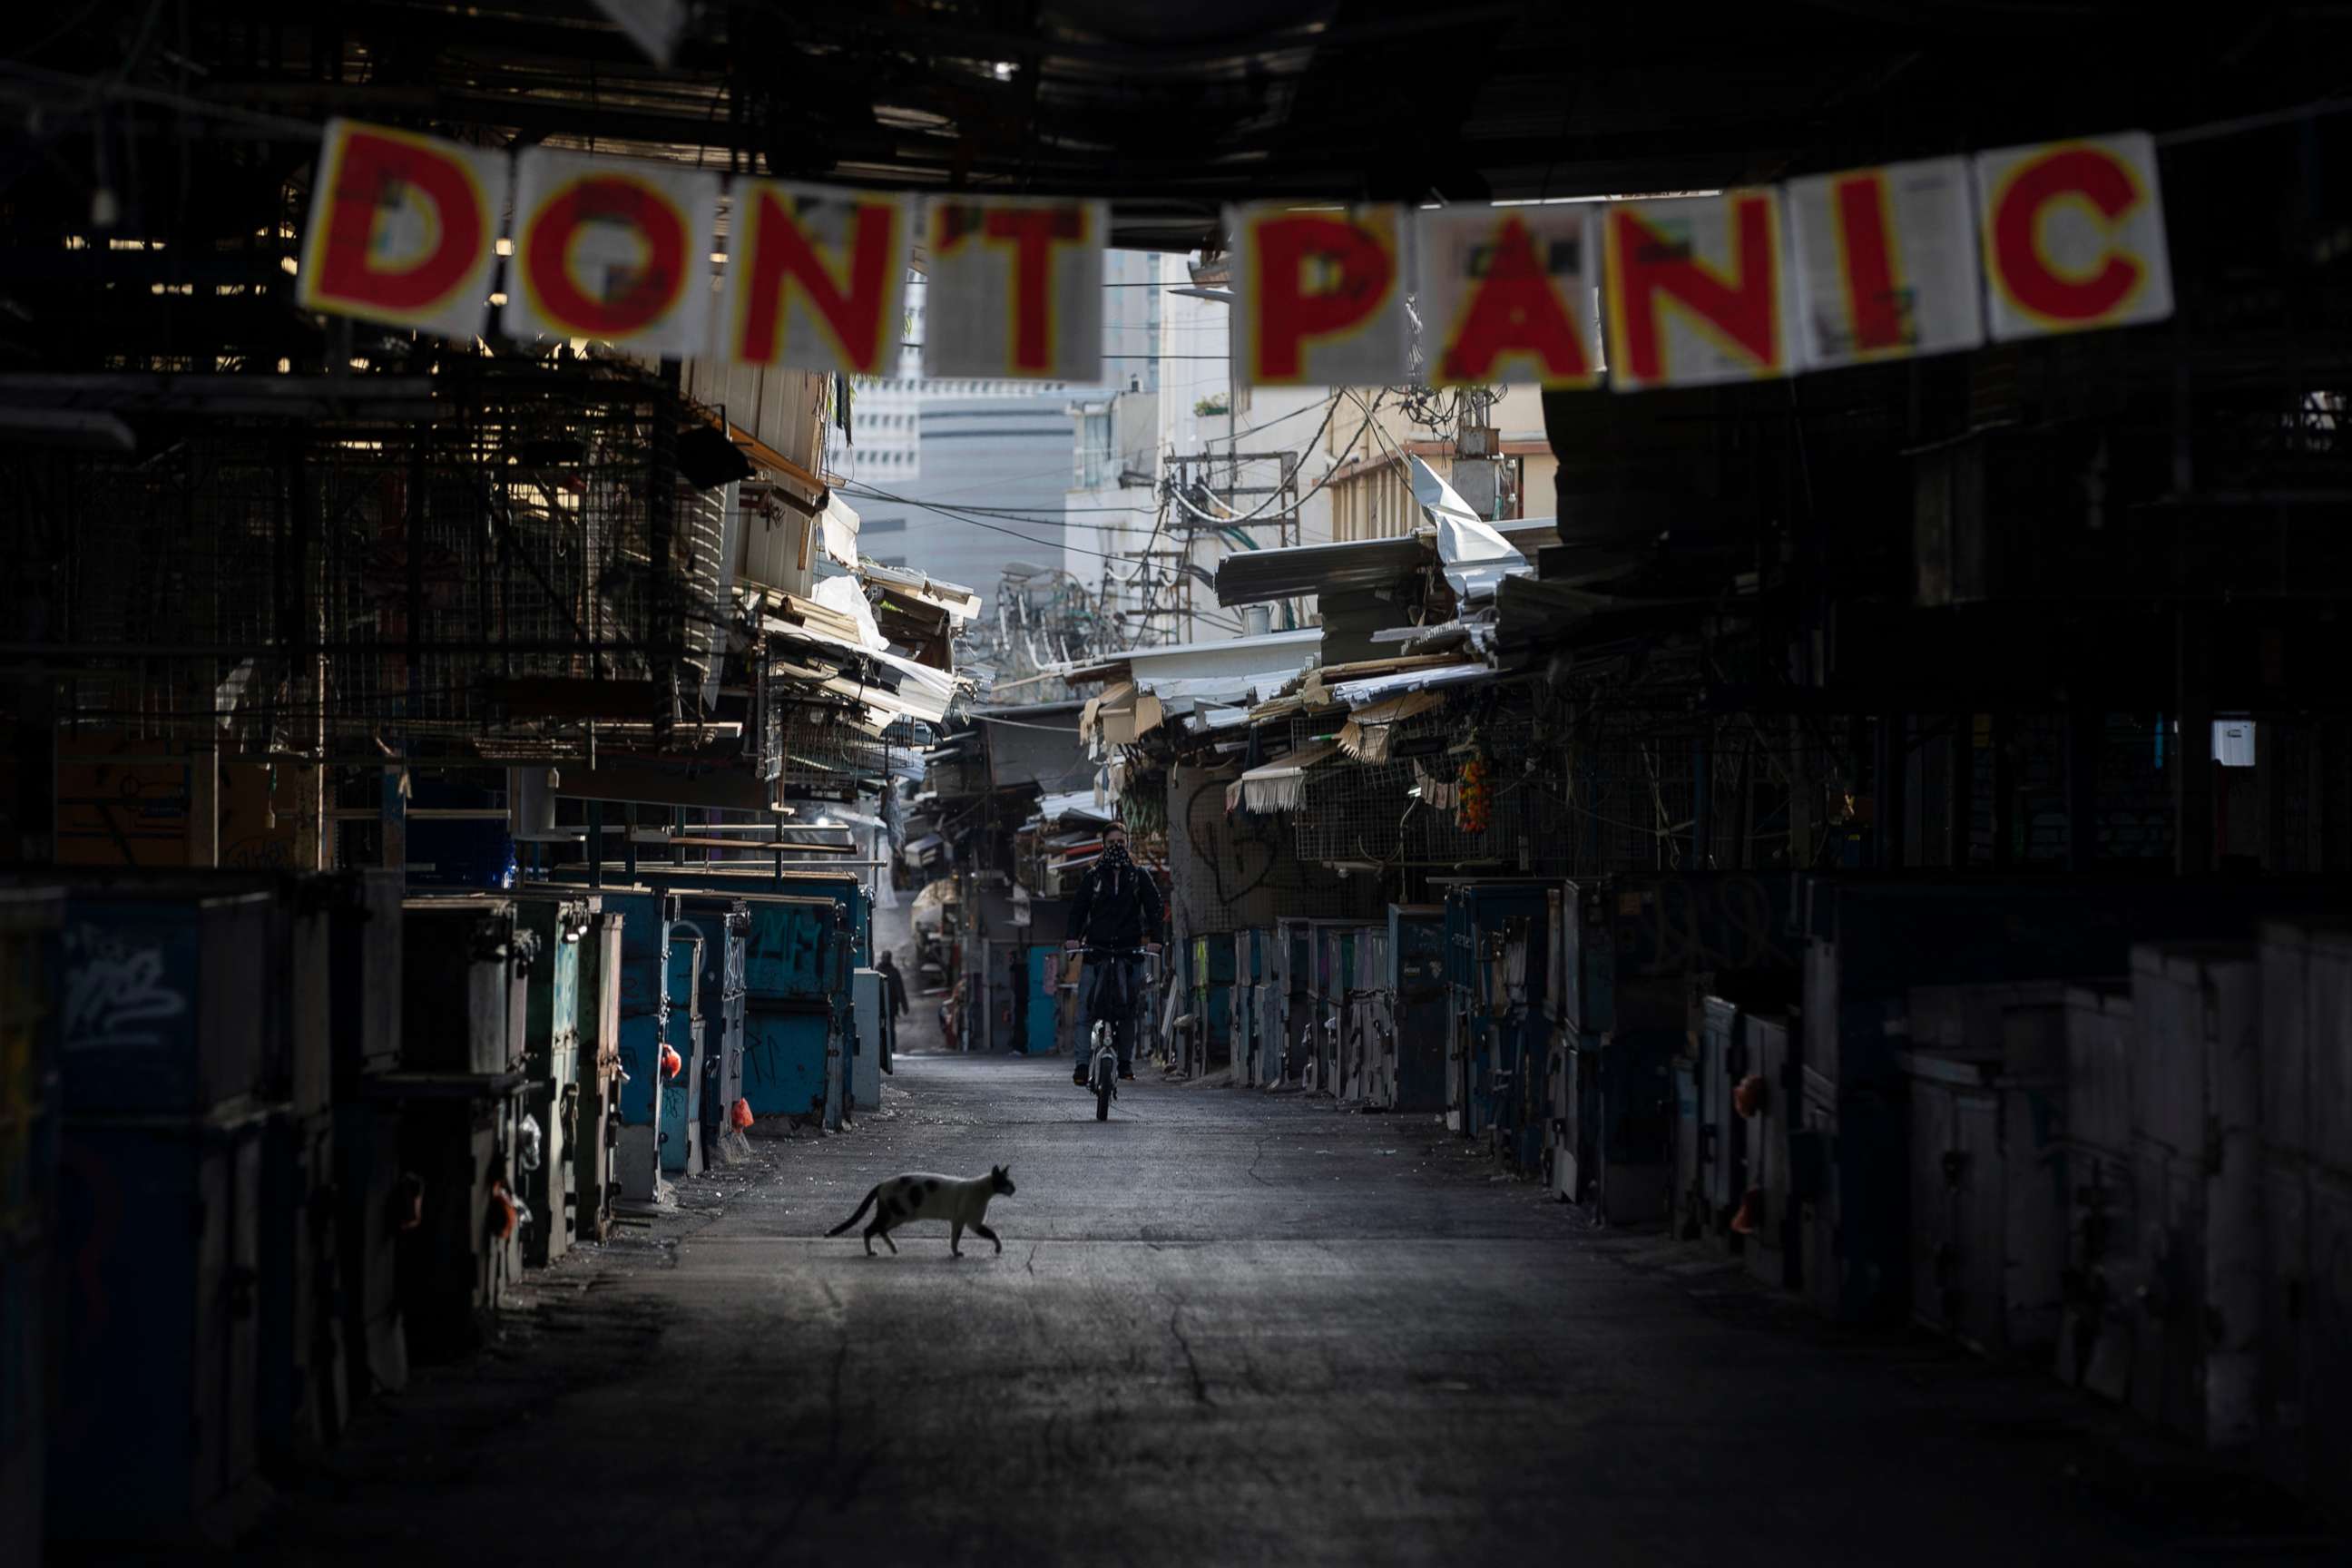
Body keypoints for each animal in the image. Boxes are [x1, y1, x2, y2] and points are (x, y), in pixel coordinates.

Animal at [828, 1165, 1011, 1259]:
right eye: (1007, 1183)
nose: (1015, 1189)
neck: (983, 1191)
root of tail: (882, 1184)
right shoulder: (971, 1222)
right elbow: (991, 1234)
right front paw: (998, 1248)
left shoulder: (960, 1221)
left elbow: (955, 1238)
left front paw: (955, 1252)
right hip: (898, 1214)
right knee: (870, 1229)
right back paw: (871, 1252)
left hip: (894, 1215)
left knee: (880, 1229)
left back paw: (893, 1248)